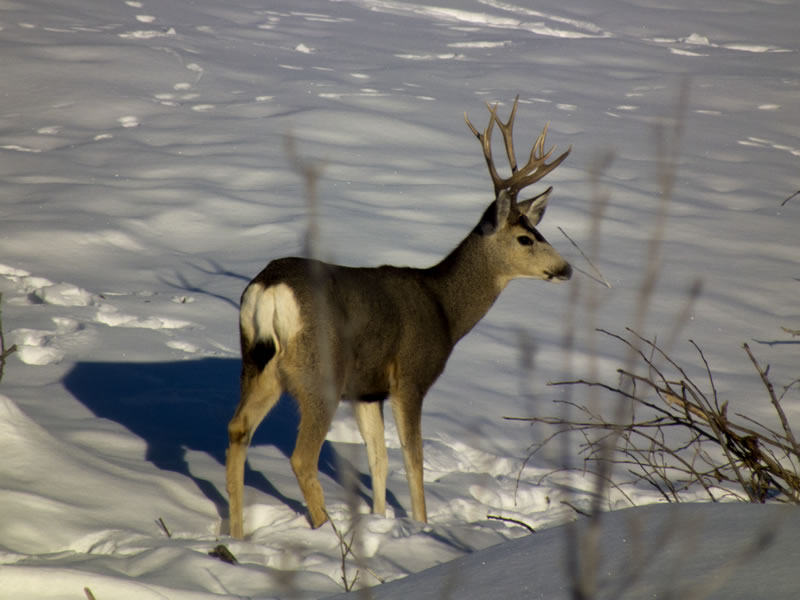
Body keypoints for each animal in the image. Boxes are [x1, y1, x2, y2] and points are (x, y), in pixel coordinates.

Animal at [226, 96, 572, 538]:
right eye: (525, 238)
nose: (566, 268)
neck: (444, 310)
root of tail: (269, 288)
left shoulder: (366, 390)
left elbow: (379, 459)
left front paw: (380, 521)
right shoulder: (410, 376)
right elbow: (412, 458)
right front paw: (423, 527)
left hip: (258, 363)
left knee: (238, 430)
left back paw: (237, 536)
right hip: (320, 372)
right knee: (302, 457)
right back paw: (328, 531)